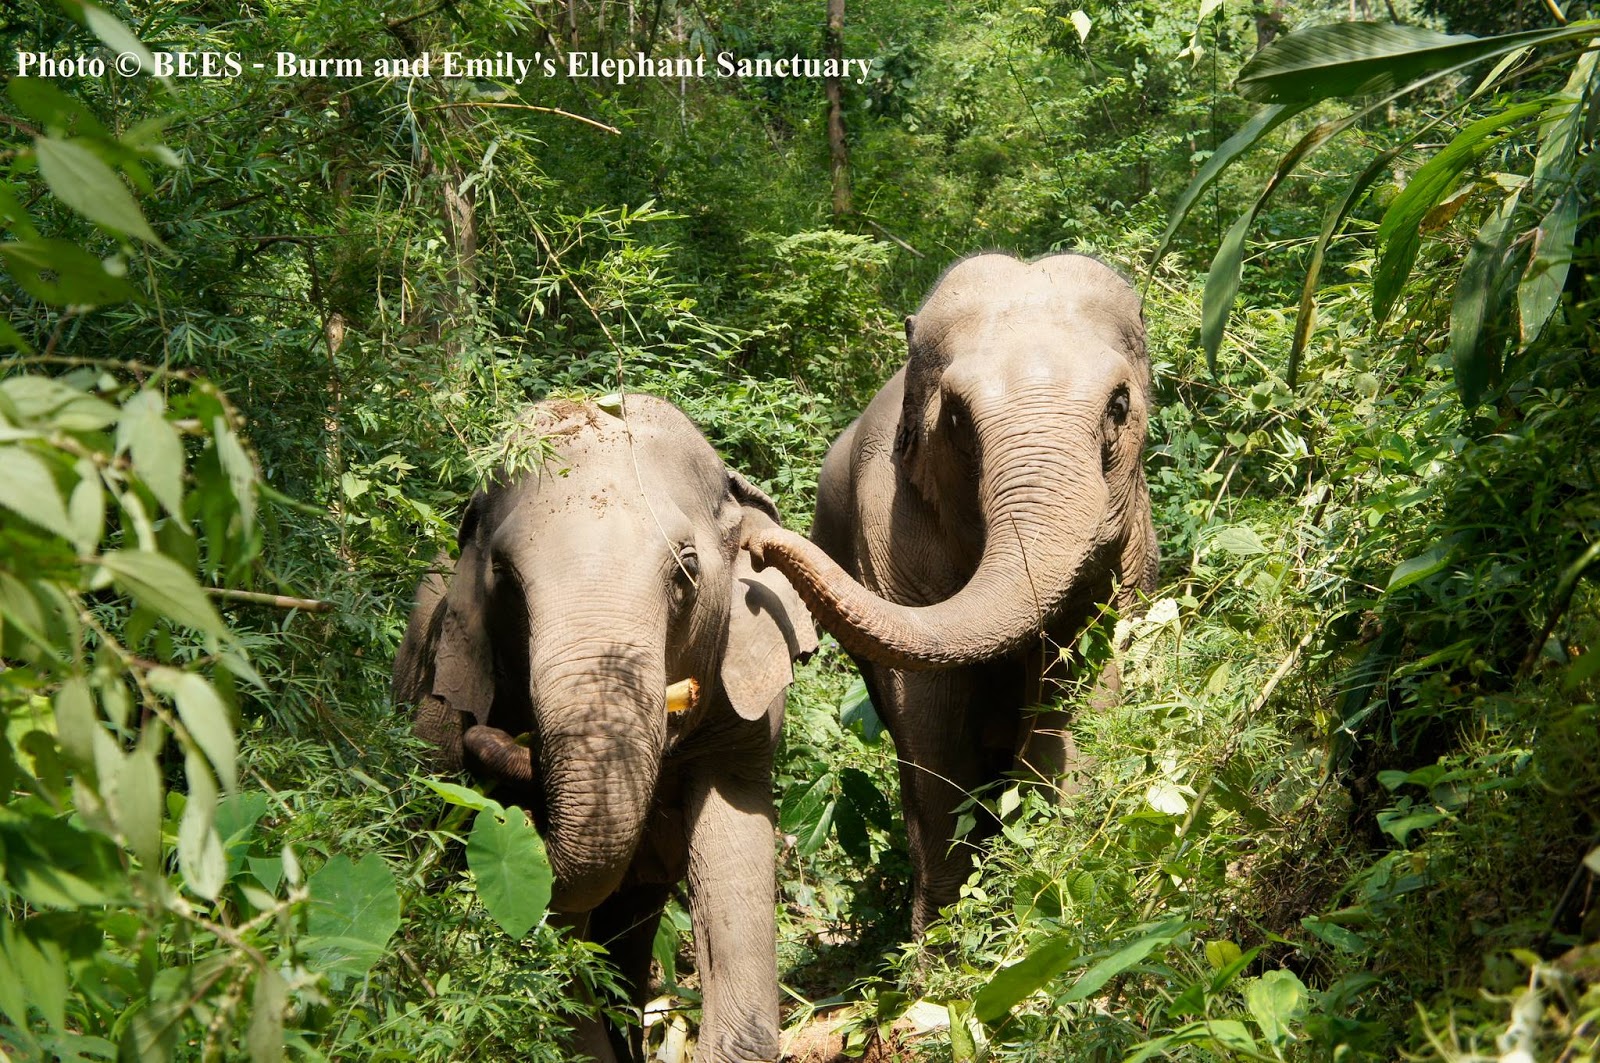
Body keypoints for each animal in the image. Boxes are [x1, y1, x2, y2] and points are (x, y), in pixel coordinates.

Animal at [742, 252, 1158, 934]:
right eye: (958, 419)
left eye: (1120, 406)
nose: (756, 541)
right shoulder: (889, 531)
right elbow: (928, 710)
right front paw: (944, 941)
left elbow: (1086, 675)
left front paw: (1051, 884)